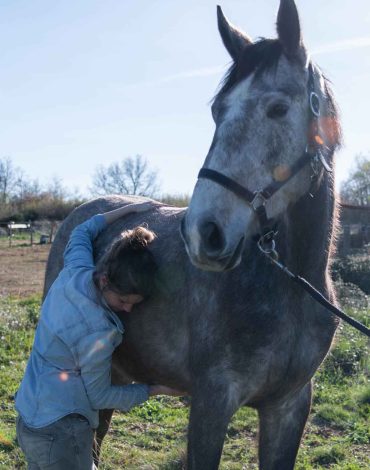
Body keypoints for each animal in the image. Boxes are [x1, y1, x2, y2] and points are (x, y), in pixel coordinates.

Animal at [44, 1, 342, 468]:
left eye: (278, 109)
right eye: (218, 111)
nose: (204, 232)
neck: (292, 288)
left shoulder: (289, 406)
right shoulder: (212, 402)